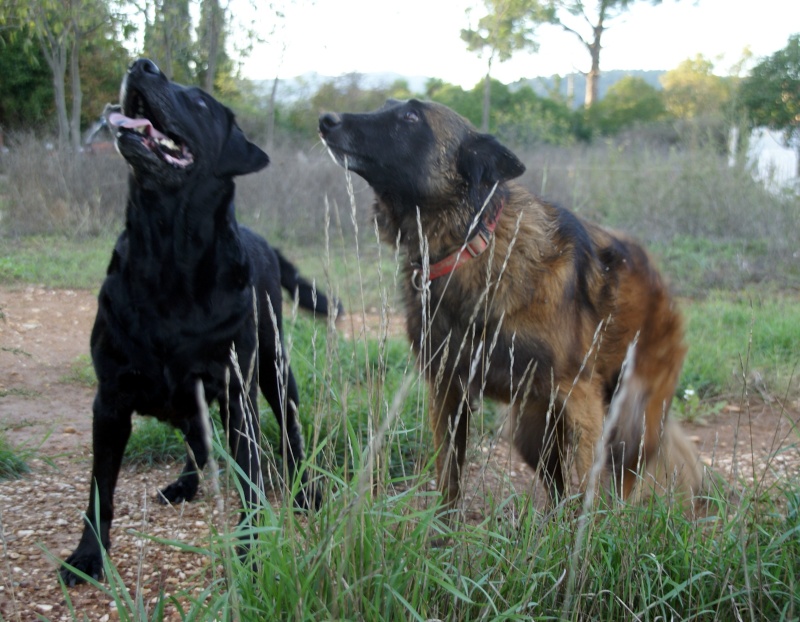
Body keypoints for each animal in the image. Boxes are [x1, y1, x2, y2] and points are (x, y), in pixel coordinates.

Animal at [58, 57, 328, 584]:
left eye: (200, 102)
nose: (141, 64)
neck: (168, 259)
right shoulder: (110, 399)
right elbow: (100, 489)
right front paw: (87, 555)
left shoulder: (238, 395)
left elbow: (251, 482)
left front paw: (251, 555)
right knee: (198, 445)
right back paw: (184, 484)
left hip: (274, 370)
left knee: (290, 437)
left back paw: (305, 492)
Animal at [318, 100, 708, 516]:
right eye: (387, 106)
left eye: (410, 117)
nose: (326, 119)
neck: (469, 246)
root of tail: (660, 283)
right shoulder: (446, 389)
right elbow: (448, 477)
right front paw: (441, 529)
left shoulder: (580, 397)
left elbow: (587, 489)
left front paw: (586, 534)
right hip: (532, 431)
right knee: (558, 487)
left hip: (628, 424)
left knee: (621, 483)